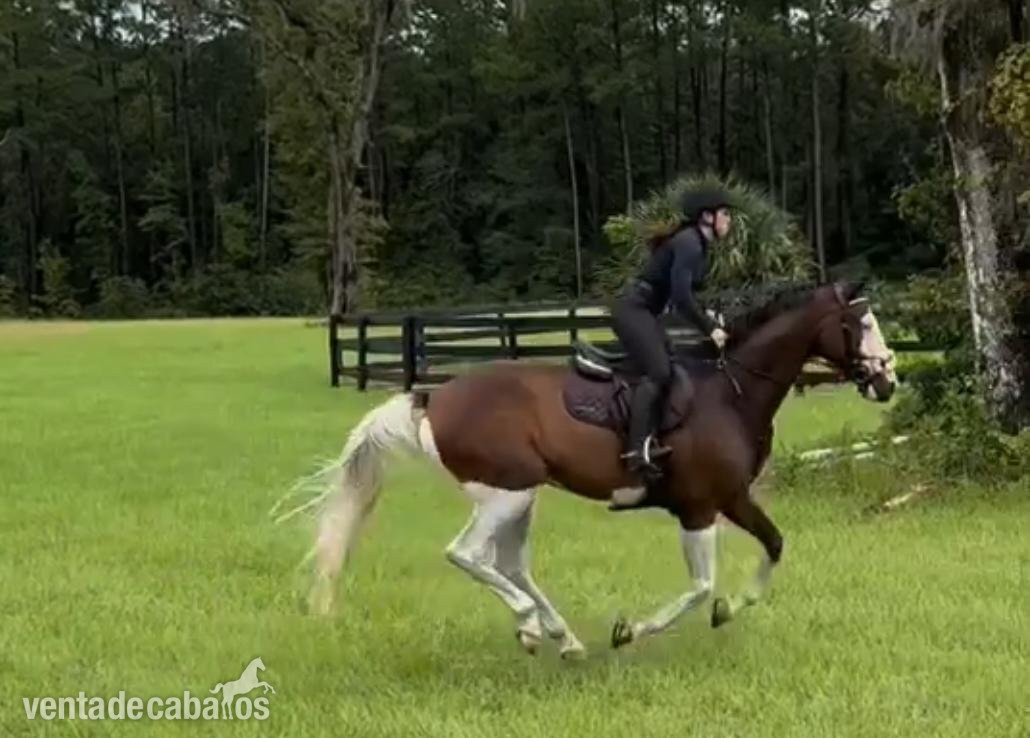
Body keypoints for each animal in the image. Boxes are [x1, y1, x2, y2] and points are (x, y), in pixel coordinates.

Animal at [281, 281, 896, 658]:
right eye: (861, 325)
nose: (887, 380)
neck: (732, 392)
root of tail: (432, 398)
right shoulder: (706, 506)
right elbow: (705, 584)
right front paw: (637, 629)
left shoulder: (724, 502)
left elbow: (770, 547)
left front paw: (729, 609)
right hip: (505, 492)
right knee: (469, 555)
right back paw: (530, 623)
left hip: (522, 495)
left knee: (511, 563)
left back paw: (560, 636)